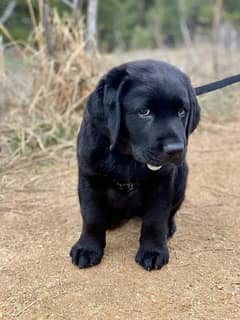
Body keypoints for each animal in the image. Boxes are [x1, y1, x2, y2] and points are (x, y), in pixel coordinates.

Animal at [70, 59, 201, 270]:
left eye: (182, 111)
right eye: (144, 112)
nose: (176, 150)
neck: (126, 157)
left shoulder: (162, 182)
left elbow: (155, 220)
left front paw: (153, 251)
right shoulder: (90, 178)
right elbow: (91, 216)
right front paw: (87, 248)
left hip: (182, 178)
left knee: (170, 212)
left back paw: (169, 227)